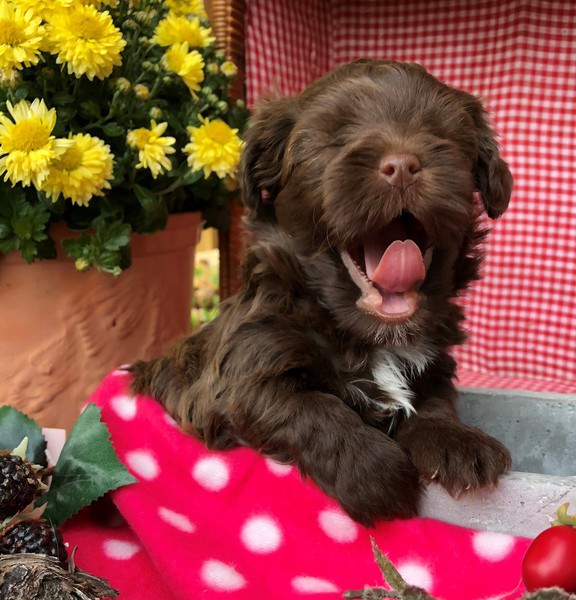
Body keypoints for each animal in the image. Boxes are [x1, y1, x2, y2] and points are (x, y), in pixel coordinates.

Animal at [130, 59, 513, 526]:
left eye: (441, 136)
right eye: (336, 139)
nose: (402, 165)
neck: (369, 337)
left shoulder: (434, 366)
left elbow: (434, 402)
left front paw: (456, 441)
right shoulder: (239, 370)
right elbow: (303, 403)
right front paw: (374, 472)